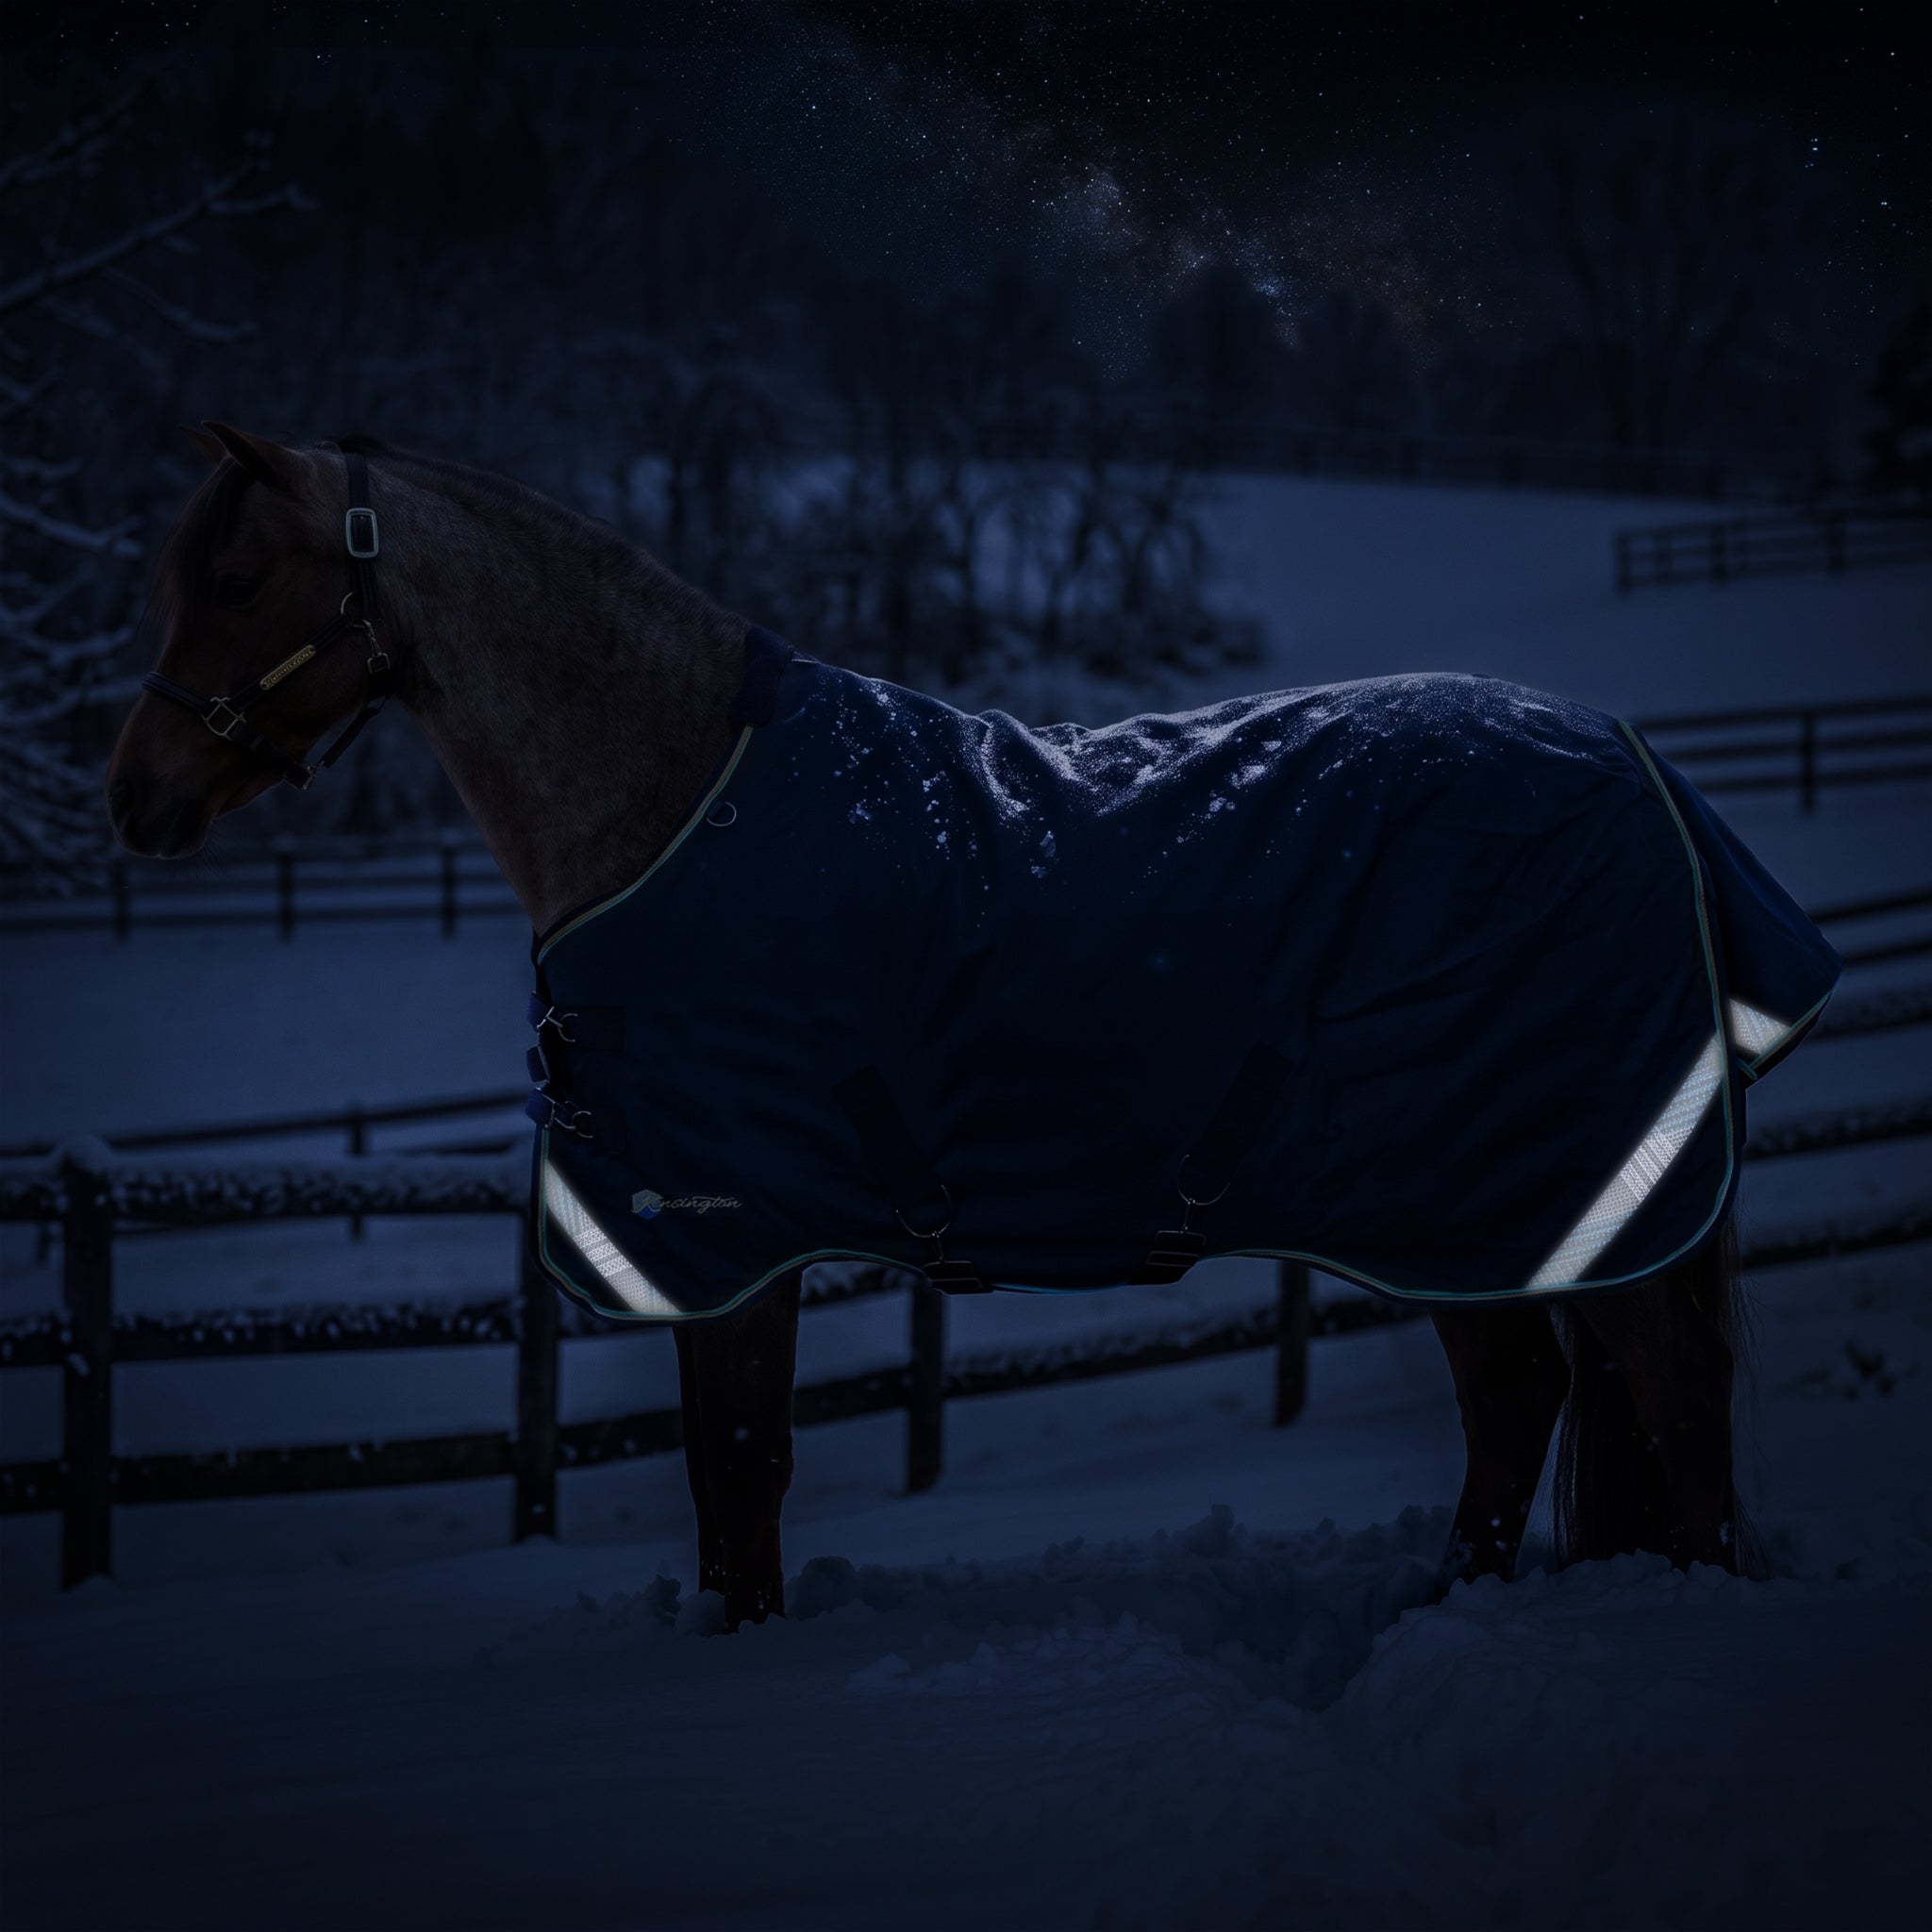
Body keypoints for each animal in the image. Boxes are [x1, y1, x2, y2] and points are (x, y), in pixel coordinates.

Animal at [109, 423, 1815, 1630]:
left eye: (243, 580)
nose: (135, 797)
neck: (673, 801)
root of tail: (1639, 775)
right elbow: (732, 1480)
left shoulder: (725, 1233)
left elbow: (739, 1472)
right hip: (1473, 1210)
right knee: (1539, 1400)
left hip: (1516, 1194)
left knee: (1634, 1401)